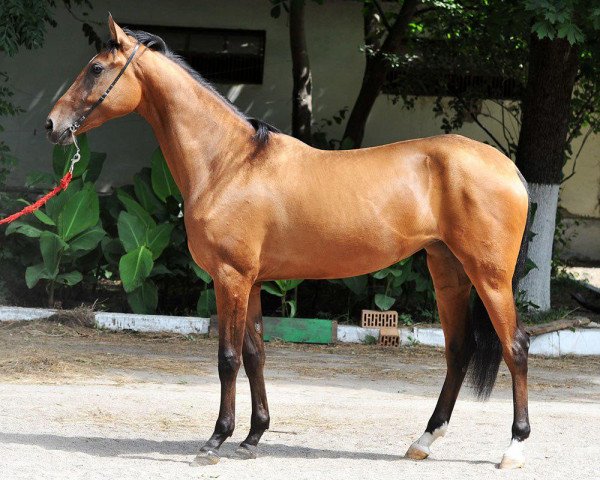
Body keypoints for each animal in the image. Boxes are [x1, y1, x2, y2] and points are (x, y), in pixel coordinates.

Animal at [47, 16, 528, 470]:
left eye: (95, 69)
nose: (52, 124)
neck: (229, 163)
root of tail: (509, 169)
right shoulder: (254, 283)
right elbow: (255, 354)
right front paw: (253, 437)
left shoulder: (230, 278)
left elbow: (228, 358)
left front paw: (216, 440)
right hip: (448, 272)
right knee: (458, 351)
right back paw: (423, 441)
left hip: (488, 276)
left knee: (516, 347)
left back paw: (515, 447)